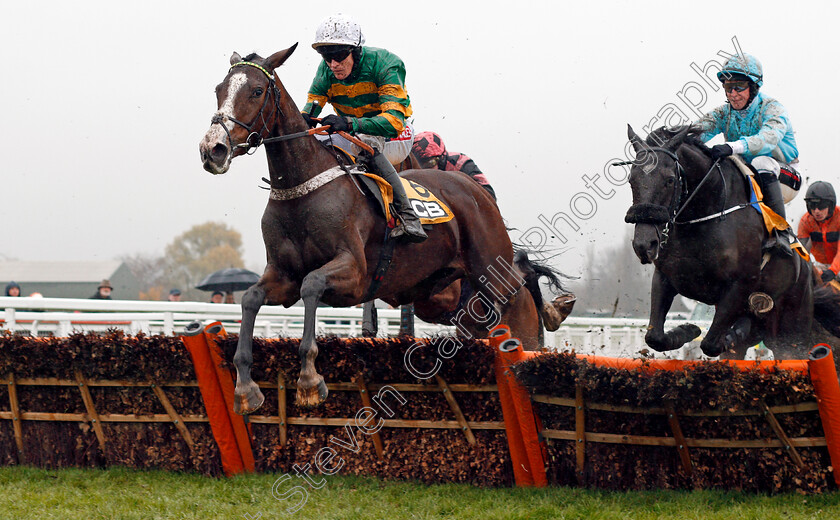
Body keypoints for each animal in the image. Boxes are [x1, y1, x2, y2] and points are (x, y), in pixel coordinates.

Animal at [199, 43, 564, 414]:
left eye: (257, 91)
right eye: (219, 90)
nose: (213, 149)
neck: (302, 190)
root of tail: (477, 193)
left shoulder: (354, 274)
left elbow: (311, 284)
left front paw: (309, 379)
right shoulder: (282, 276)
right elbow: (251, 298)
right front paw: (245, 387)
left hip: (495, 280)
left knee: (522, 303)